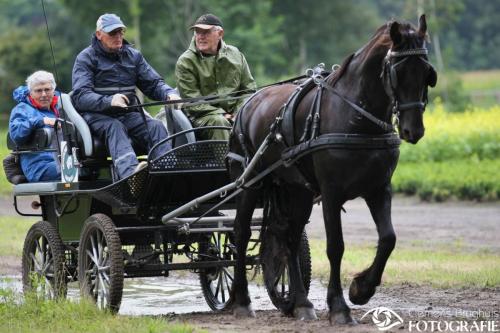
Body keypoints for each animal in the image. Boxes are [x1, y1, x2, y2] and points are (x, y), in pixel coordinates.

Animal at [228, 14, 438, 322]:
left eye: (426, 73)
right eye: (397, 72)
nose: (414, 130)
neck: (356, 118)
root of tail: (248, 104)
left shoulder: (379, 189)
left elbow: (388, 238)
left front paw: (361, 289)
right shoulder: (331, 193)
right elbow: (336, 247)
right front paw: (339, 306)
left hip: (298, 190)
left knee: (290, 237)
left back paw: (301, 303)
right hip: (251, 183)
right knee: (241, 233)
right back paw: (241, 300)